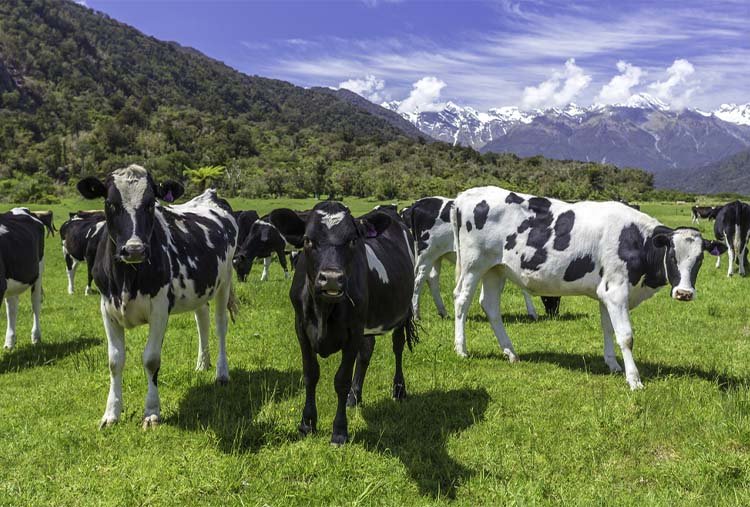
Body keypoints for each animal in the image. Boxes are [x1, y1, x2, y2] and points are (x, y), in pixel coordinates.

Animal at [76, 164, 238, 429]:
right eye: (110, 203)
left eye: (151, 203)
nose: (134, 249)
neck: (126, 278)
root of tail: (209, 194)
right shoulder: (107, 308)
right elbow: (114, 361)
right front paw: (111, 413)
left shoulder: (160, 308)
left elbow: (151, 359)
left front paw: (151, 412)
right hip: (200, 288)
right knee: (202, 320)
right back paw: (202, 364)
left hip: (224, 281)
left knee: (220, 325)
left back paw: (221, 373)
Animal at [270, 202, 417, 445]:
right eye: (308, 240)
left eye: (352, 240)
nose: (331, 278)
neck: (324, 311)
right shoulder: (301, 328)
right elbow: (310, 374)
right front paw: (307, 423)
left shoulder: (354, 331)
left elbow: (341, 380)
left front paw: (339, 431)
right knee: (366, 352)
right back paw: (354, 397)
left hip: (403, 310)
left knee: (398, 346)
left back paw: (399, 389)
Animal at [402, 196, 560, 320]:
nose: (554, 313)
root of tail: (418, 203)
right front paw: (532, 313)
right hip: (426, 253)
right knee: (419, 280)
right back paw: (417, 315)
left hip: (437, 255)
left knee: (432, 279)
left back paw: (443, 312)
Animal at [451, 186, 726, 389]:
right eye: (671, 256)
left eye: (699, 259)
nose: (684, 293)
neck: (637, 240)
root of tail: (466, 195)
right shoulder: (616, 291)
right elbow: (626, 336)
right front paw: (634, 379)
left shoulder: (606, 293)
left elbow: (608, 328)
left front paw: (613, 365)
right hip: (473, 264)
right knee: (462, 300)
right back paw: (461, 349)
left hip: (496, 269)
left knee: (490, 306)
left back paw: (510, 352)